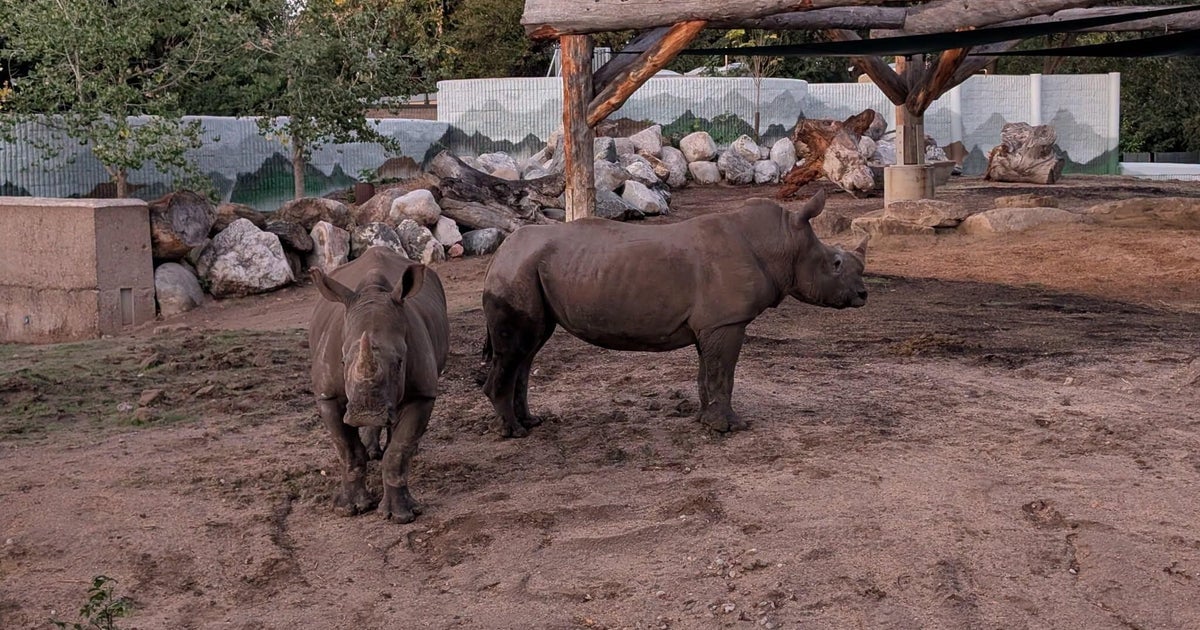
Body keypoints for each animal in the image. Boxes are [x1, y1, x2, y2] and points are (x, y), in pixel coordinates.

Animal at [309, 246, 449, 523]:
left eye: (400, 361)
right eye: (342, 361)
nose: (366, 413)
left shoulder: (423, 393)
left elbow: (399, 451)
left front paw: (401, 515)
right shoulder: (327, 395)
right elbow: (347, 449)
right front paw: (348, 508)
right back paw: (372, 450)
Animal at [481, 190, 866, 437]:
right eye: (835, 263)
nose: (863, 295)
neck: (782, 241)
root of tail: (499, 254)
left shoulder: (712, 323)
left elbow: (707, 372)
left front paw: (704, 421)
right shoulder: (728, 321)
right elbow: (723, 373)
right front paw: (731, 428)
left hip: (528, 268)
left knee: (529, 349)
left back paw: (532, 423)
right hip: (517, 270)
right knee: (518, 349)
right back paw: (513, 433)